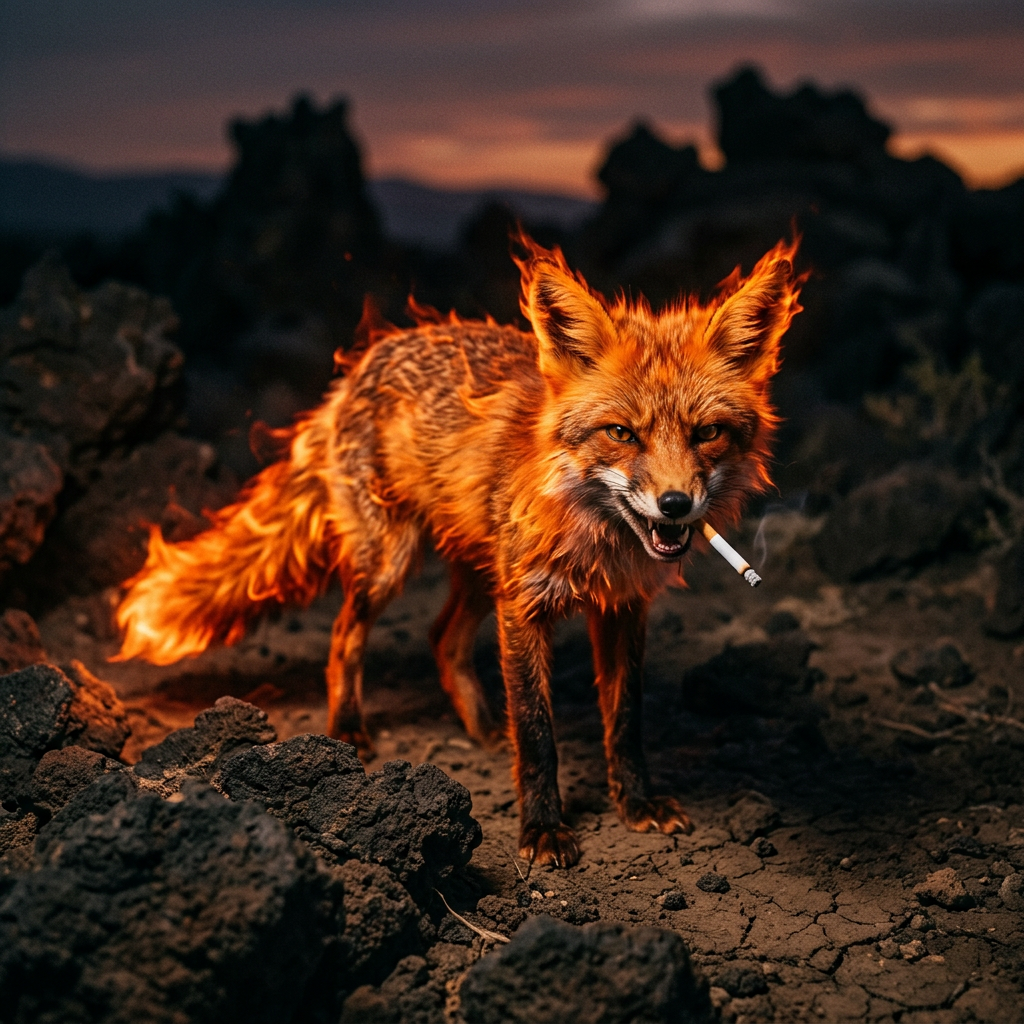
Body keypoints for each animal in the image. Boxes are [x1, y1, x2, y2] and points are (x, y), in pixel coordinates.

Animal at [115, 234, 802, 867]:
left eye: (706, 433)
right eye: (622, 434)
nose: (675, 505)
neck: (599, 537)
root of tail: (360, 365)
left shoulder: (623, 609)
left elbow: (625, 718)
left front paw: (634, 803)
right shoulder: (524, 606)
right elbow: (538, 729)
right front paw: (543, 828)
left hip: (480, 572)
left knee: (442, 638)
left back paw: (484, 728)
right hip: (392, 563)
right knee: (344, 637)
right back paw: (349, 729)